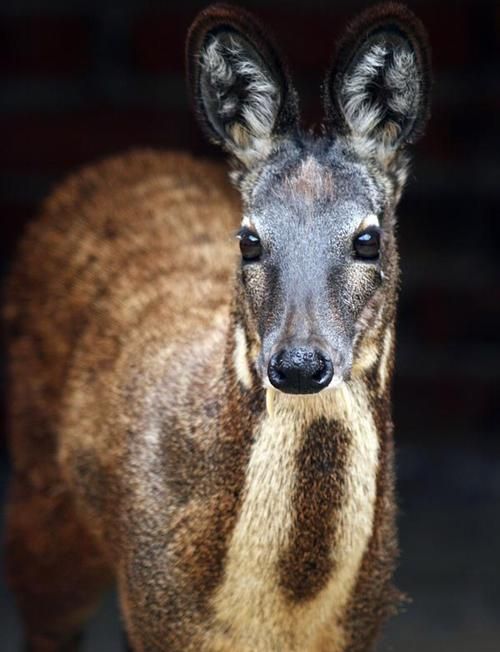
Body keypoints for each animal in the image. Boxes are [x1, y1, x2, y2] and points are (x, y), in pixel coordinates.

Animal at [3, 2, 432, 648]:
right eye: (249, 239)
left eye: (368, 239)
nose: (298, 364)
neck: (278, 615)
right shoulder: (152, 606)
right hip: (39, 505)